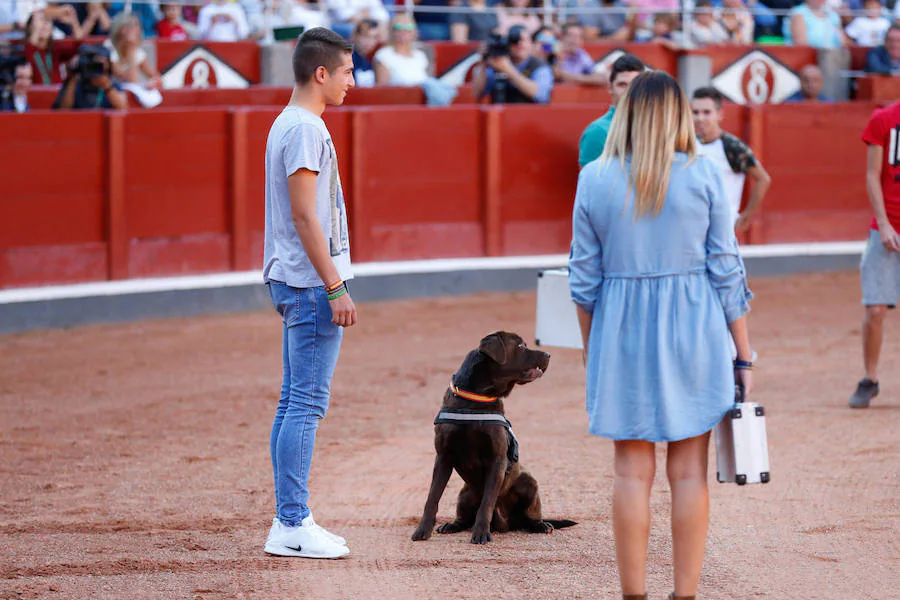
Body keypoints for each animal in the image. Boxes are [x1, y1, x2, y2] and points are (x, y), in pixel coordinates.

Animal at [410, 330, 572, 548]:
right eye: (520, 346)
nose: (548, 354)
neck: (474, 400)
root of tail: (507, 524)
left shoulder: (497, 459)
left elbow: (486, 503)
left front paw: (480, 533)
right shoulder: (443, 456)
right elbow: (432, 497)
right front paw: (422, 530)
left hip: (529, 482)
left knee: (529, 516)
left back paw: (541, 525)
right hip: (465, 493)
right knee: (464, 518)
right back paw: (451, 525)